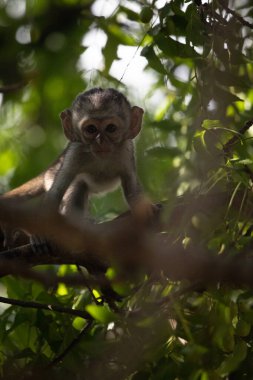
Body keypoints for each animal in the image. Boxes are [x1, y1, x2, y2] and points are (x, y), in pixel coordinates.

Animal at [1, 87, 154, 251]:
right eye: (91, 129)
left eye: (111, 128)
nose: (100, 141)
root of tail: (49, 169)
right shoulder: (76, 151)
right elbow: (57, 191)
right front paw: (40, 233)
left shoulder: (126, 149)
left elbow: (131, 184)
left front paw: (145, 210)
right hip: (52, 176)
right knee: (77, 185)